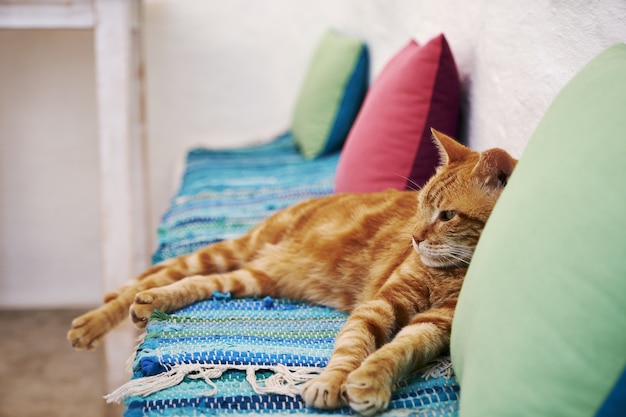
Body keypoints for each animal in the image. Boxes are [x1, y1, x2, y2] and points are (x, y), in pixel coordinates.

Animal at [69, 129, 516, 412]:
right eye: (422, 206)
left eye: (447, 215)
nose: (414, 238)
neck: (449, 272)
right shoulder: (380, 305)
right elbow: (352, 346)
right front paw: (331, 382)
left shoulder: (435, 325)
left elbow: (396, 350)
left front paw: (370, 381)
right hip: (232, 251)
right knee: (153, 279)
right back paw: (95, 321)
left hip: (250, 278)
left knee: (193, 283)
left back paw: (150, 302)